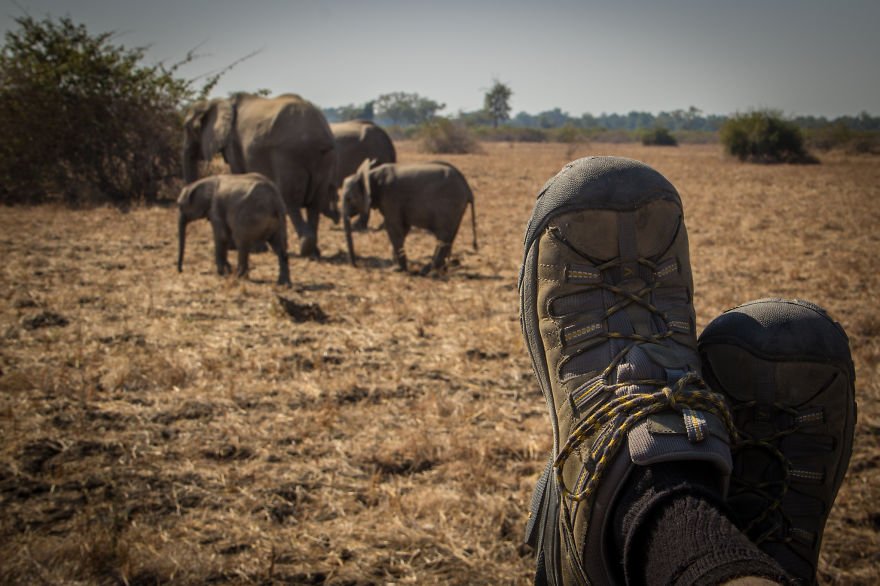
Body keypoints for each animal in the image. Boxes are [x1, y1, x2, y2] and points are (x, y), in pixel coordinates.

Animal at [181, 93, 336, 256]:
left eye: (187, 128)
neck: (219, 102)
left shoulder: (233, 145)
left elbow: (240, 176)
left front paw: (254, 249)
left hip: (289, 155)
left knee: (291, 200)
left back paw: (305, 248)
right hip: (325, 157)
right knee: (315, 203)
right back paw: (314, 251)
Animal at [342, 157, 478, 272]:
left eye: (349, 199)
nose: (355, 265)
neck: (370, 175)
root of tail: (467, 188)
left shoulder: (391, 198)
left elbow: (393, 228)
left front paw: (397, 269)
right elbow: (403, 229)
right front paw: (397, 266)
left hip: (449, 204)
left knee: (442, 235)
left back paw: (428, 271)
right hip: (457, 209)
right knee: (449, 236)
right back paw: (438, 269)